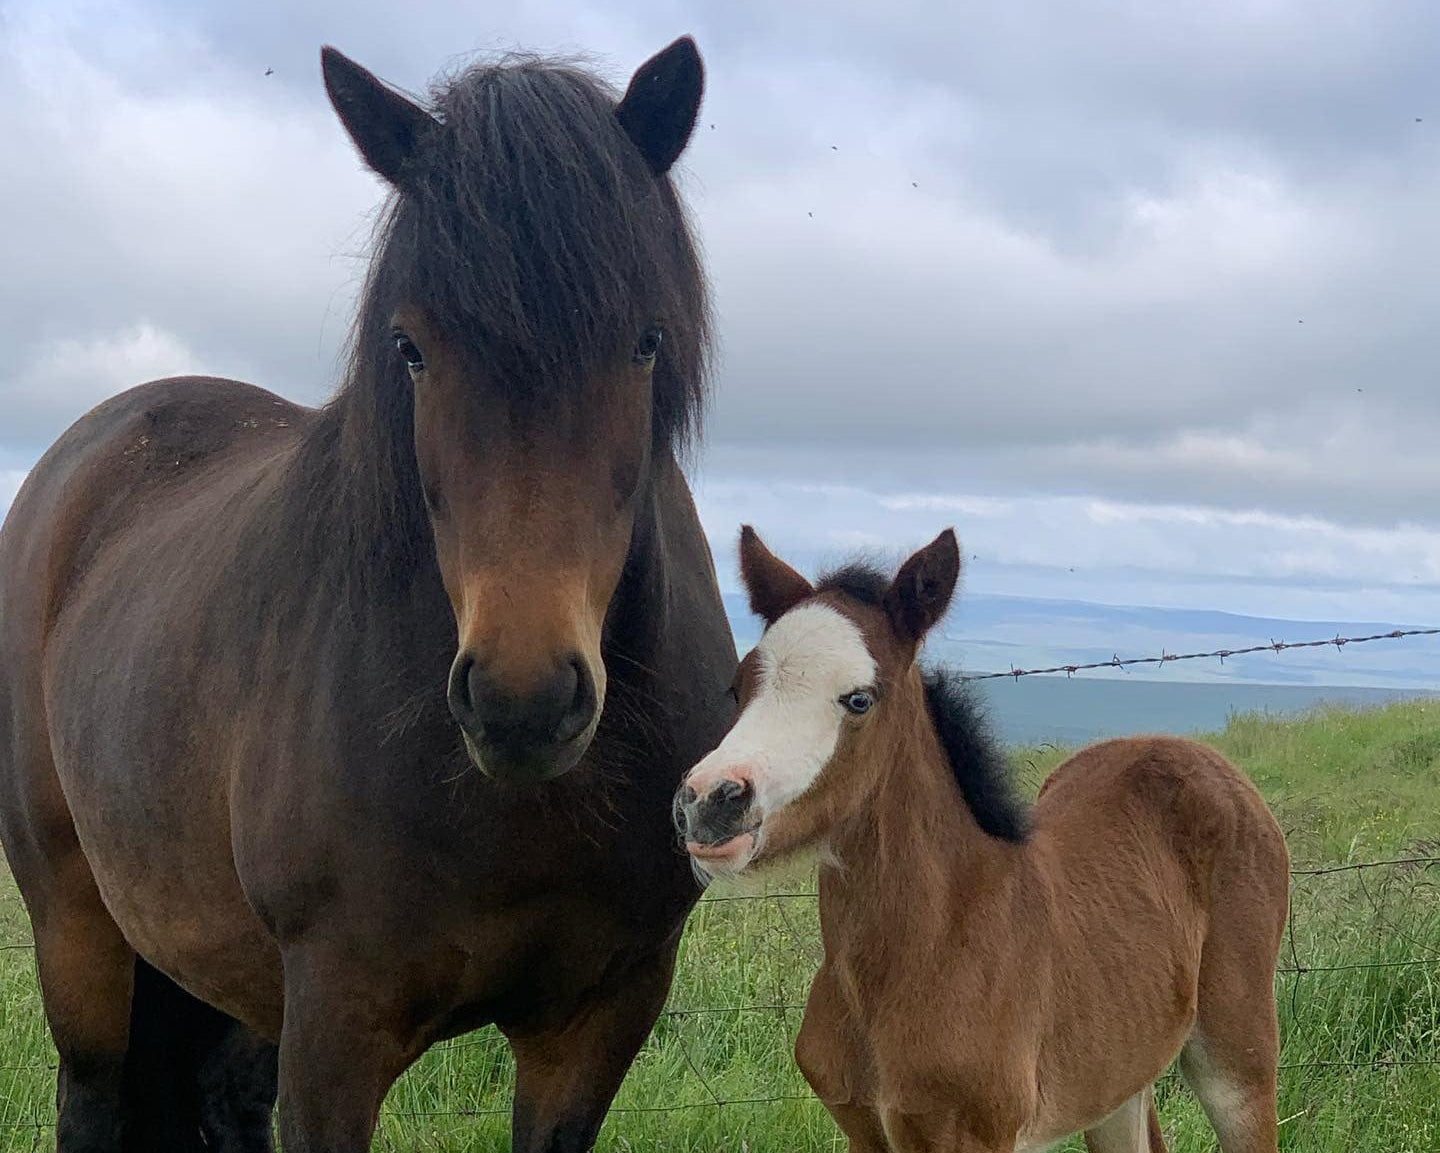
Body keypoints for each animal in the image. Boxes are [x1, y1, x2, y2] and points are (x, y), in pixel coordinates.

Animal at [0, 35, 736, 1153]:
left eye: (645, 341)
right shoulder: (336, 1028)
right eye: (410, 346)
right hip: (79, 936)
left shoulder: (598, 1019)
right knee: (91, 1099)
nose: (523, 700)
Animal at [675, 527, 1291, 1153]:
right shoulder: (862, 1129)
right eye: (737, 688)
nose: (709, 800)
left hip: (1238, 1056)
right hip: (1117, 1072)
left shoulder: (976, 1134)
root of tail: (1207, 760)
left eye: (859, 699)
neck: (924, 951)